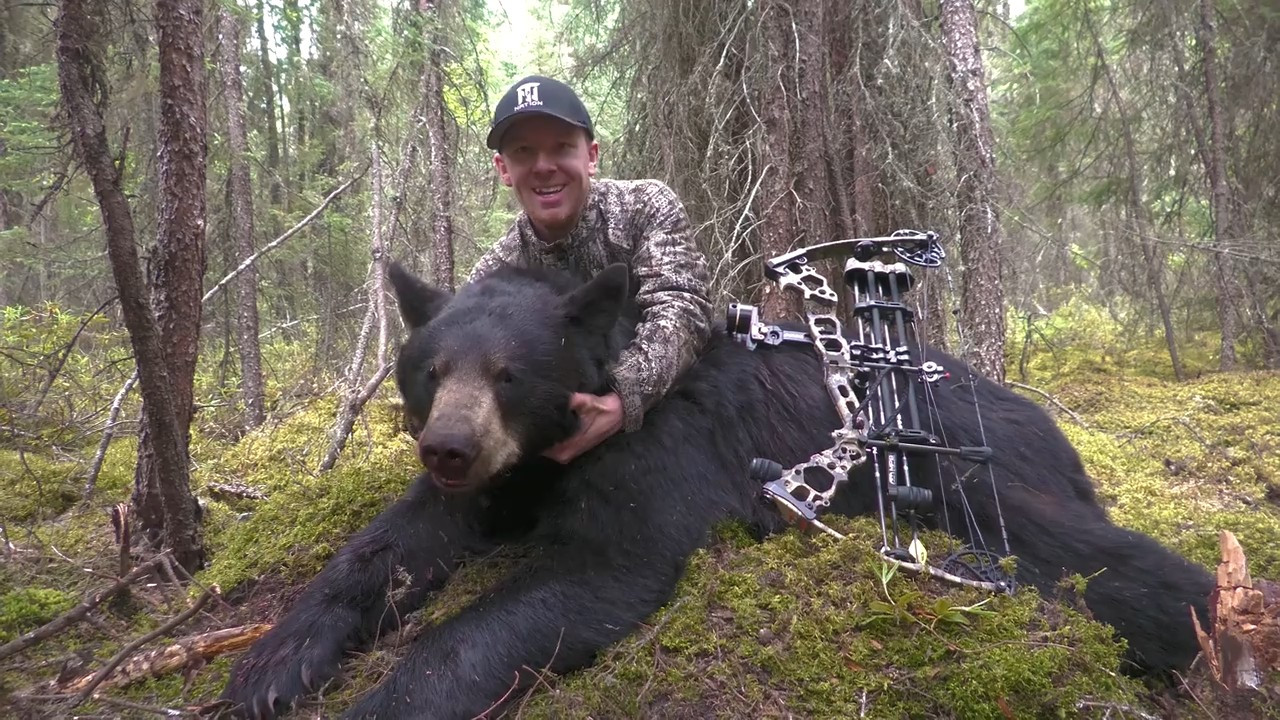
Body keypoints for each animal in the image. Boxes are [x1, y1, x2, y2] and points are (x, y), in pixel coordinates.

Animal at [217, 260, 1214, 719]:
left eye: (509, 374)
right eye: (432, 369)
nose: (449, 448)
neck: (553, 449)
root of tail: (1055, 429)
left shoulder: (662, 453)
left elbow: (602, 568)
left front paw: (387, 696)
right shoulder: (503, 478)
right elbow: (394, 545)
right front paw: (269, 666)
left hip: (980, 474)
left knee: (1098, 564)